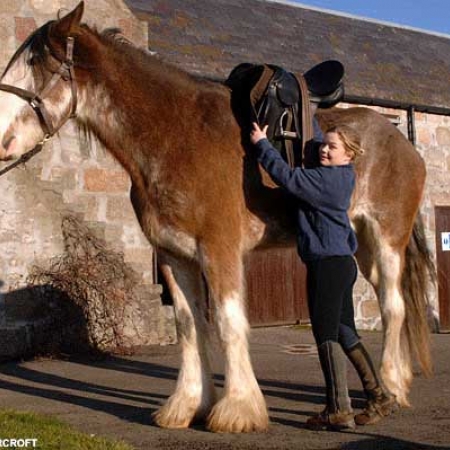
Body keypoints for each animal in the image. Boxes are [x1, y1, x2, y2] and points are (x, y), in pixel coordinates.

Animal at [0, 2, 432, 432]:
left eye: (38, 63)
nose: (2, 143)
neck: (176, 137)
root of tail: (401, 142)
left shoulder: (218, 249)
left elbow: (228, 322)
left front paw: (238, 409)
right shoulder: (175, 256)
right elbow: (190, 326)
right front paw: (188, 404)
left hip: (387, 239)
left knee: (393, 306)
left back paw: (392, 388)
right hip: (361, 247)